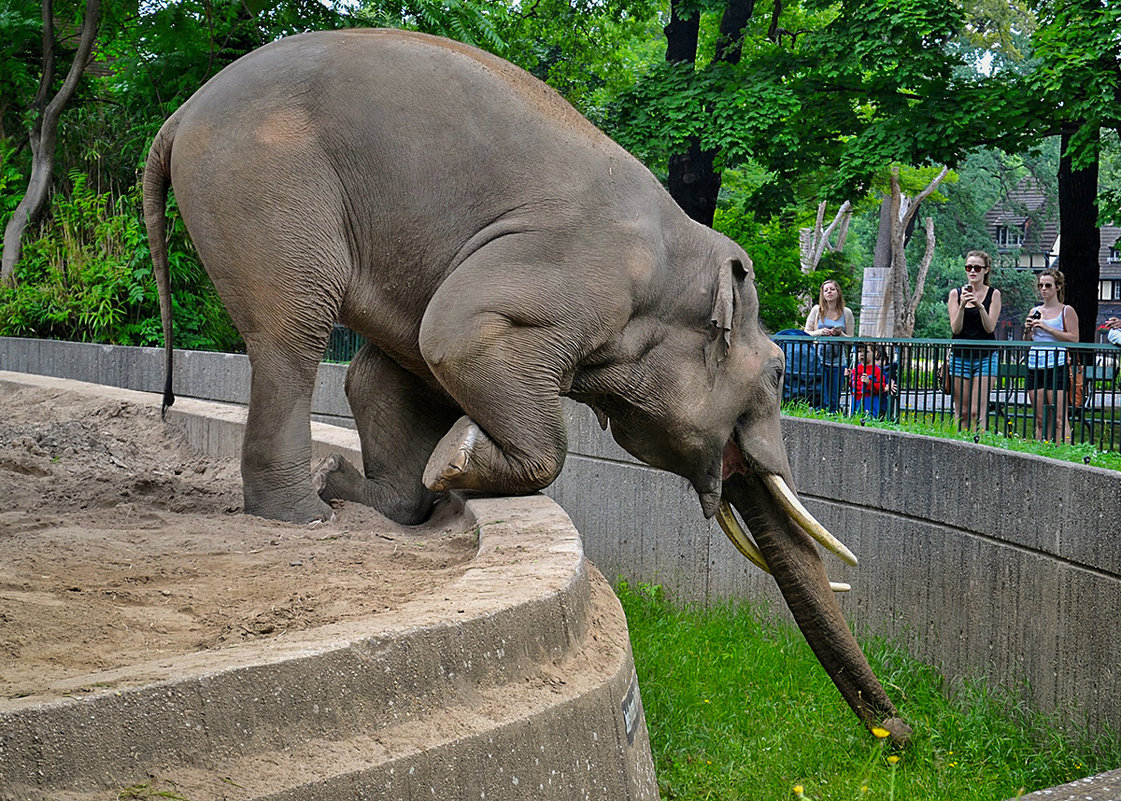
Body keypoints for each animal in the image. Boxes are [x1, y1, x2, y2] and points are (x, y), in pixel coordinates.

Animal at [142, 26, 910, 743]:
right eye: (779, 372)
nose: (897, 734)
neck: (680, 256)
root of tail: (179, 116)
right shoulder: (574, 268)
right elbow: (454, 333)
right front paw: (453, 465)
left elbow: (395, 375)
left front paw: (395, 484)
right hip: (266, 189)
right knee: (293, 336)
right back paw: (306, 517)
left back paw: (330, 494)